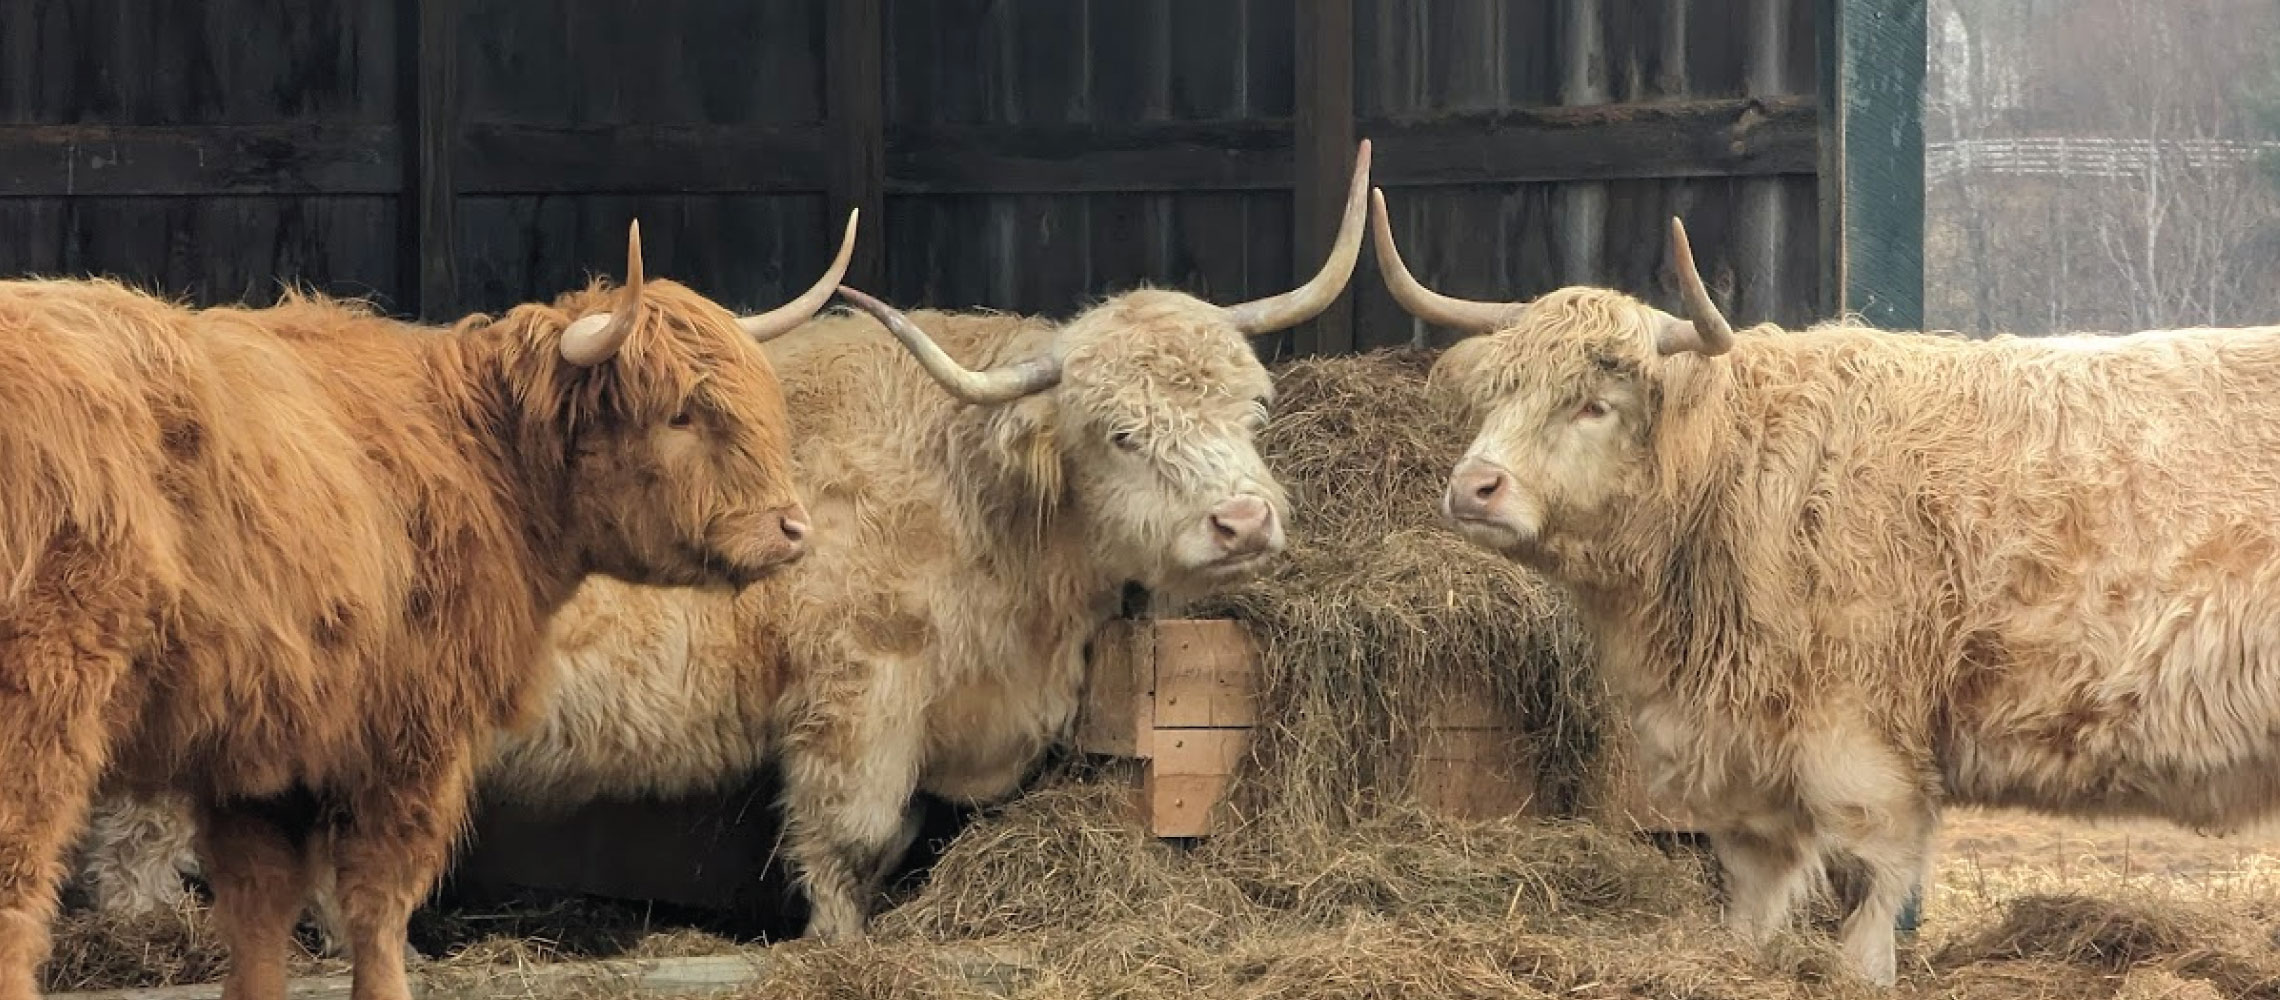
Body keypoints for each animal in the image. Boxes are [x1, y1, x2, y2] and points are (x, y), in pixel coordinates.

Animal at [0, 215, 861, 1000]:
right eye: (681, 412)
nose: (794, 528)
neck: (484, 453)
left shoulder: (267, 742)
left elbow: (260, 905)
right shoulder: (415, 731)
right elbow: (379, 903)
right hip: (40, 708)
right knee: (18, 883)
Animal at [1358, 191, 2280, 988]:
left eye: (1593, 404)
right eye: (1499, 394)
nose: (1474, 487)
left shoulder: (1860, 738)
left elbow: (1867, 887)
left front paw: (1859, 975)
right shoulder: (1746, 762)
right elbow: (1753, 889)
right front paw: (1739, 964)